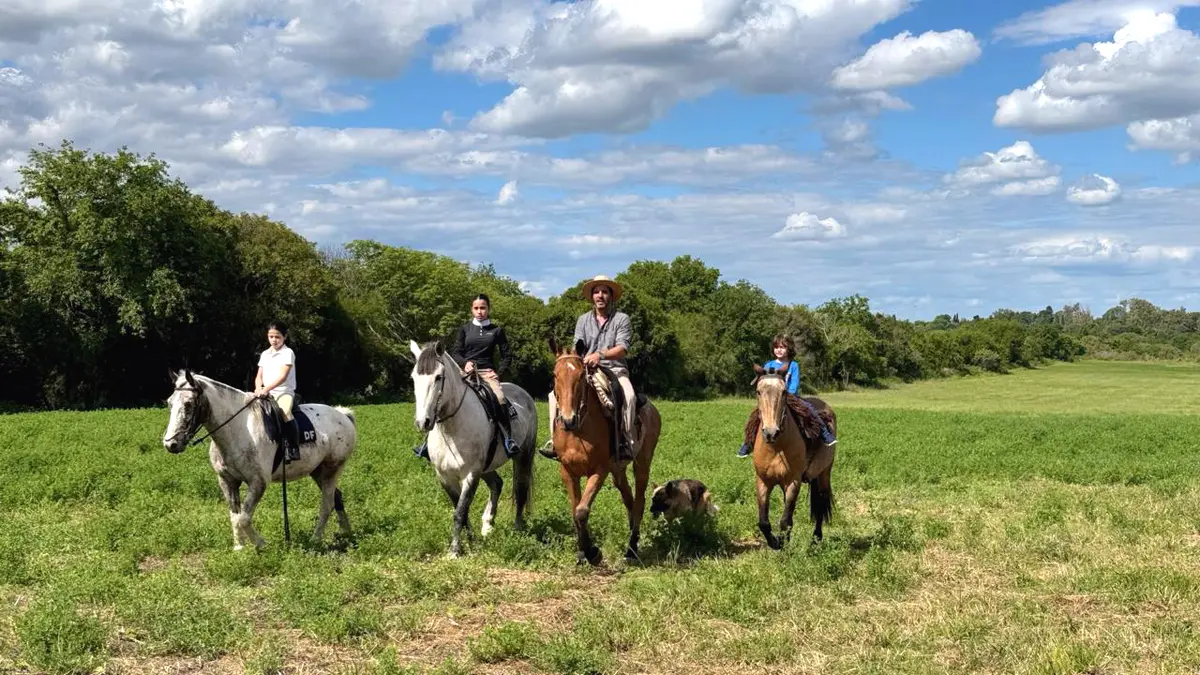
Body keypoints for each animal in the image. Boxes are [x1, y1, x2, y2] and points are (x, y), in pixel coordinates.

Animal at [161, 369, 356, 550]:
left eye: (188, 404)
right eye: (170, 403)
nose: (171, 444)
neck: (238, 429)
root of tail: (343, 415)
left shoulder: (258, 482)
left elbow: (244, 518)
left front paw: (261, 544)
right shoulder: (227, 481)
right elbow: (234, 516)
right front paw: (239, 548)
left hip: (332, 469)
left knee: (327, 503)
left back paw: (315, 539)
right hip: (317, 471)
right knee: (337, 498)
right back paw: (347, 533)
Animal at [409, 340, 537, 557]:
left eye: (438, 377)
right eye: (414, 377)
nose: (422, 422)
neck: (451, 430)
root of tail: (524, 394)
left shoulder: (471, 473)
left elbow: (460, 511)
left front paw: (454, 551)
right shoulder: (445, 476)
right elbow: (461, 508)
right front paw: (470, 541)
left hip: (523, 456)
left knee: (520, 488)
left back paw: (518, 527)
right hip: (487, 466)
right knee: (497, 484)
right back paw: (487, 525)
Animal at [548, 338, 662, 566]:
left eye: (581, 376)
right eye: (555, 375)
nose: (568, 419)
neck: (579, 430)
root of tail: (652, 409)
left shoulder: (599, 471)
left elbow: (582, 511)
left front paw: (593, 553)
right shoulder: (568, 472)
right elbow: (575, 511)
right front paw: (582, 551)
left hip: (642, 463)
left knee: (639, 502)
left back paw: (631, 549)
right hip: (618, 471)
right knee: (628, 498)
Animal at [750, 364, 836, 549]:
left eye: (784, 392)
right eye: (758, 392)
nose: (771, 432)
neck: (776, 447)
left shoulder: (793, 482)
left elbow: (785, 520)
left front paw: (781, 543)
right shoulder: (763, 481)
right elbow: (764, 522)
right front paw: (776, 542)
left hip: (824, 473)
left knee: (820, 502)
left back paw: (816, 538)